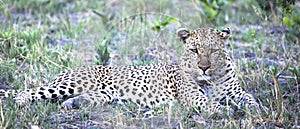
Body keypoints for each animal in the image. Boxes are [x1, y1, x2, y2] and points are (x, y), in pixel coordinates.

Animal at [0, 26, 258, 116]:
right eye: (194, 50)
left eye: (213, 50)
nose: (204, 67)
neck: (213, 78)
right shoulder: (192, 95)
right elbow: (209, 102)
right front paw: (222, 111)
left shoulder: (235, 91)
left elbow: (249, 98)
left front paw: (255, 109)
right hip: (71, 83)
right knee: (26, 92)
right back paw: (21, 104)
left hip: (103, 94)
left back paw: (71, 104)